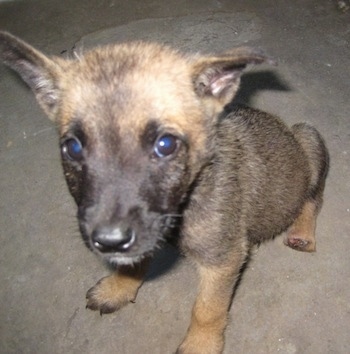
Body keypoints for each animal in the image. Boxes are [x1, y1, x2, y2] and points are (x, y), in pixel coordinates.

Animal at [0, 31, 330, 354]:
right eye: (73, 147)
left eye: (166, 144)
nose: (108, 241)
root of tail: (286, 127)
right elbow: (135, 262)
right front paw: (118, 289)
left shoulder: (223, 260)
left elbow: (207, 309)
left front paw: (200, 345)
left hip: (309, 139)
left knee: (312, 198)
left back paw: (302, 233)